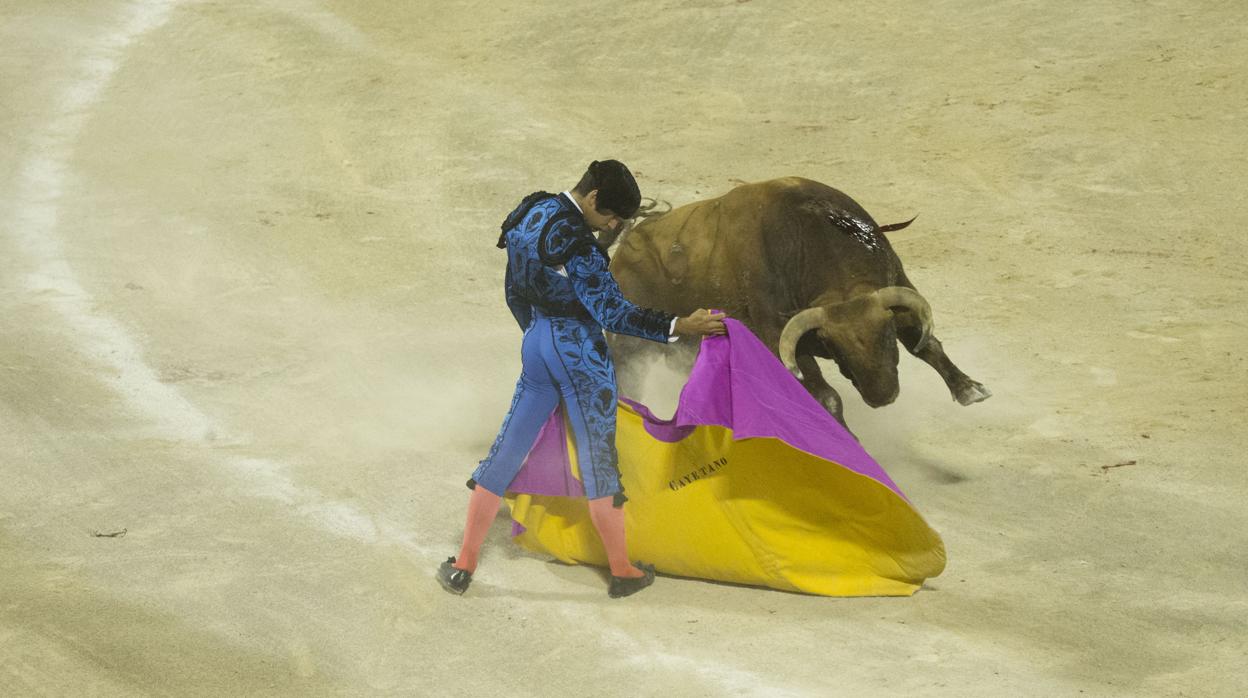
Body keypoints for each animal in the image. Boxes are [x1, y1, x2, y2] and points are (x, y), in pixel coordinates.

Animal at [606, 176, 993, 427]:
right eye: (832, 345)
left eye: (886, 335)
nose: (883, 397)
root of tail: (622, 250)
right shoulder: (781, 337)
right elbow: (826, 396)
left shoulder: (896, 289)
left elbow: (926, 346)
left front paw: (969, 388)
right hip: (628, 346)